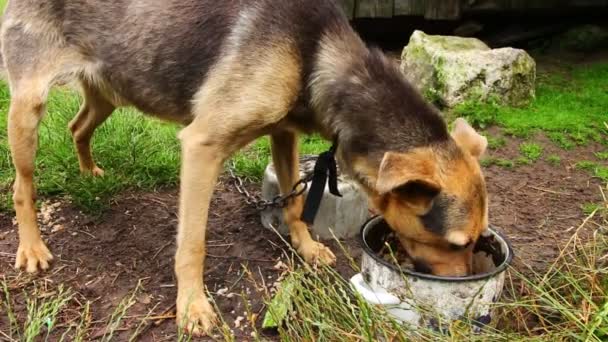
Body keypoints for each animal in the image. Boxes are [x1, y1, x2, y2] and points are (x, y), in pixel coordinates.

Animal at [2, 0, 490, 336]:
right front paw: (192, 306)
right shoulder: (202, 147)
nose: (466, 297)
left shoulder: (284, 134)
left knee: (77, 126)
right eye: (455, 243)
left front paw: (305, 248)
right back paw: (32, 248)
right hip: (28, 108)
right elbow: (192, 244)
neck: (315, 52)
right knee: (22, 187)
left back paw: (89, 174)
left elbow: (296, 204)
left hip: (110, 90)